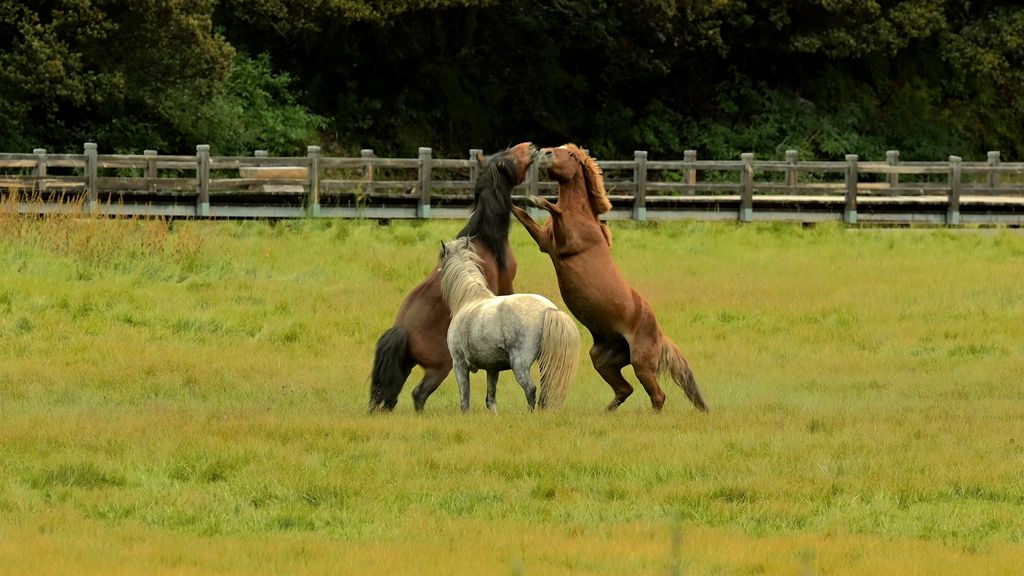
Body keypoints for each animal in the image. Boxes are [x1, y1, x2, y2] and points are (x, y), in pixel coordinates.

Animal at [372, 143, 540, 412]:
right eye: (512, 157)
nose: (531, 146)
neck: (485, 237)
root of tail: (403, 330)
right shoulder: (505, 287)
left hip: (404, 367)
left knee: (391, 397)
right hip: (440, 367)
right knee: (418, 394)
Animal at [509, 144, 708, 412]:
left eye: (569, 154)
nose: (545, 152)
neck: (581, 215)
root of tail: (659, 334)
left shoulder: (567, 242)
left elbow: (554, 209)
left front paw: (535, 198)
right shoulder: (545, 242)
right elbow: (523, 215)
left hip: (642, 363)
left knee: (657, 395)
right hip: (603, 359)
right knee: (625, 389)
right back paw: (605, 413)